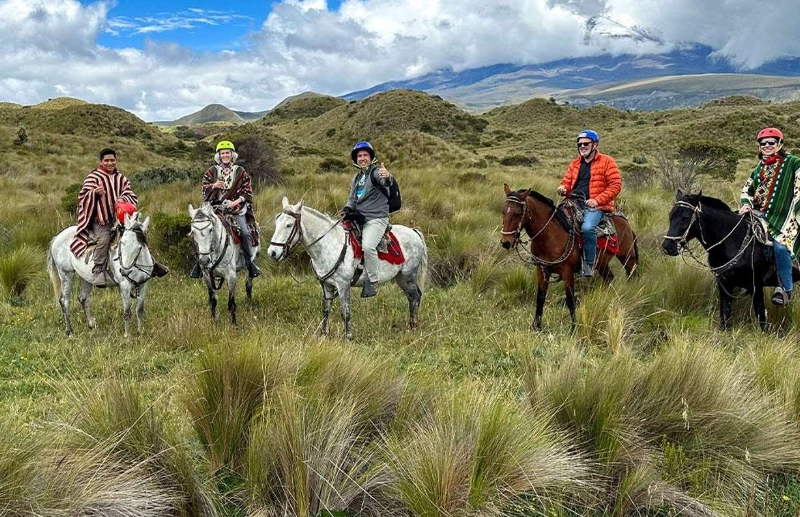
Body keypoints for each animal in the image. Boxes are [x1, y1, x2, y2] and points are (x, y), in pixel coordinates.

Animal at [267, 197, 427, 340]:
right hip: (401, 278)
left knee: (415, 296)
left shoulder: (343, 285)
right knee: (412, 297)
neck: (330, 243)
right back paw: (411, 325)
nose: (272, 252)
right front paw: (324, 334)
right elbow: (326, 310)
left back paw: (413, 327)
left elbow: (346, 312)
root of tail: (414, 232)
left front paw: (348, 337)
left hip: (408, 275)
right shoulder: (327, 285)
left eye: (288, 225)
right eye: (277, 222)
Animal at [499, 183, 639, 330]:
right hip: (601, 263)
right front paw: (536, 326)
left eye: (518, 213)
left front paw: (573, 328)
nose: (505, 242)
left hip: (627, 258)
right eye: (503, 211)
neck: (551, 235)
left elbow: (570, 300)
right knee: (609, 278)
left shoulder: (567, 271)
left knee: (632, 275)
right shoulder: (542, 269)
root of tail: (627, 224)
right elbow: (540, 297)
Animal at [661, 190, 798, 331]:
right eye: (671, 215)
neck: (734, 241)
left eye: (686, 217)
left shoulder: (756, 285)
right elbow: (725, 315)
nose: (667, 247)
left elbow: (761, 317)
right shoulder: (724, 284)